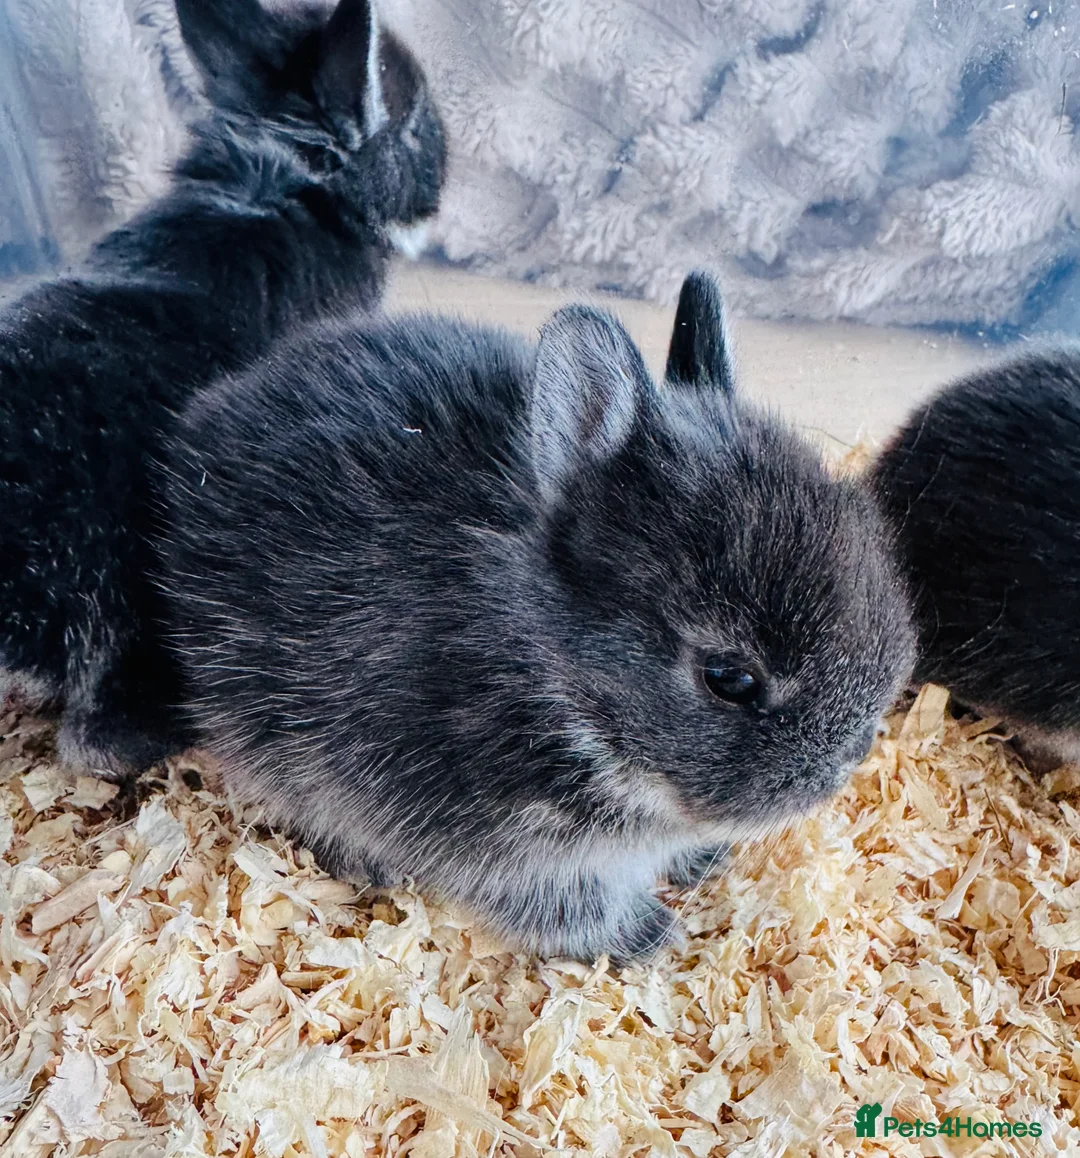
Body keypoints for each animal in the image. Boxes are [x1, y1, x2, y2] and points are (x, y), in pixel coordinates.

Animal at [160, 270, 915, 962]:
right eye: (728, 678)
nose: (847, 762)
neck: (553, 668)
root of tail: (203, 426)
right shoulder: (507, 850)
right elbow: (566, 906)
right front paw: (650, 937)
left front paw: (700, 863)